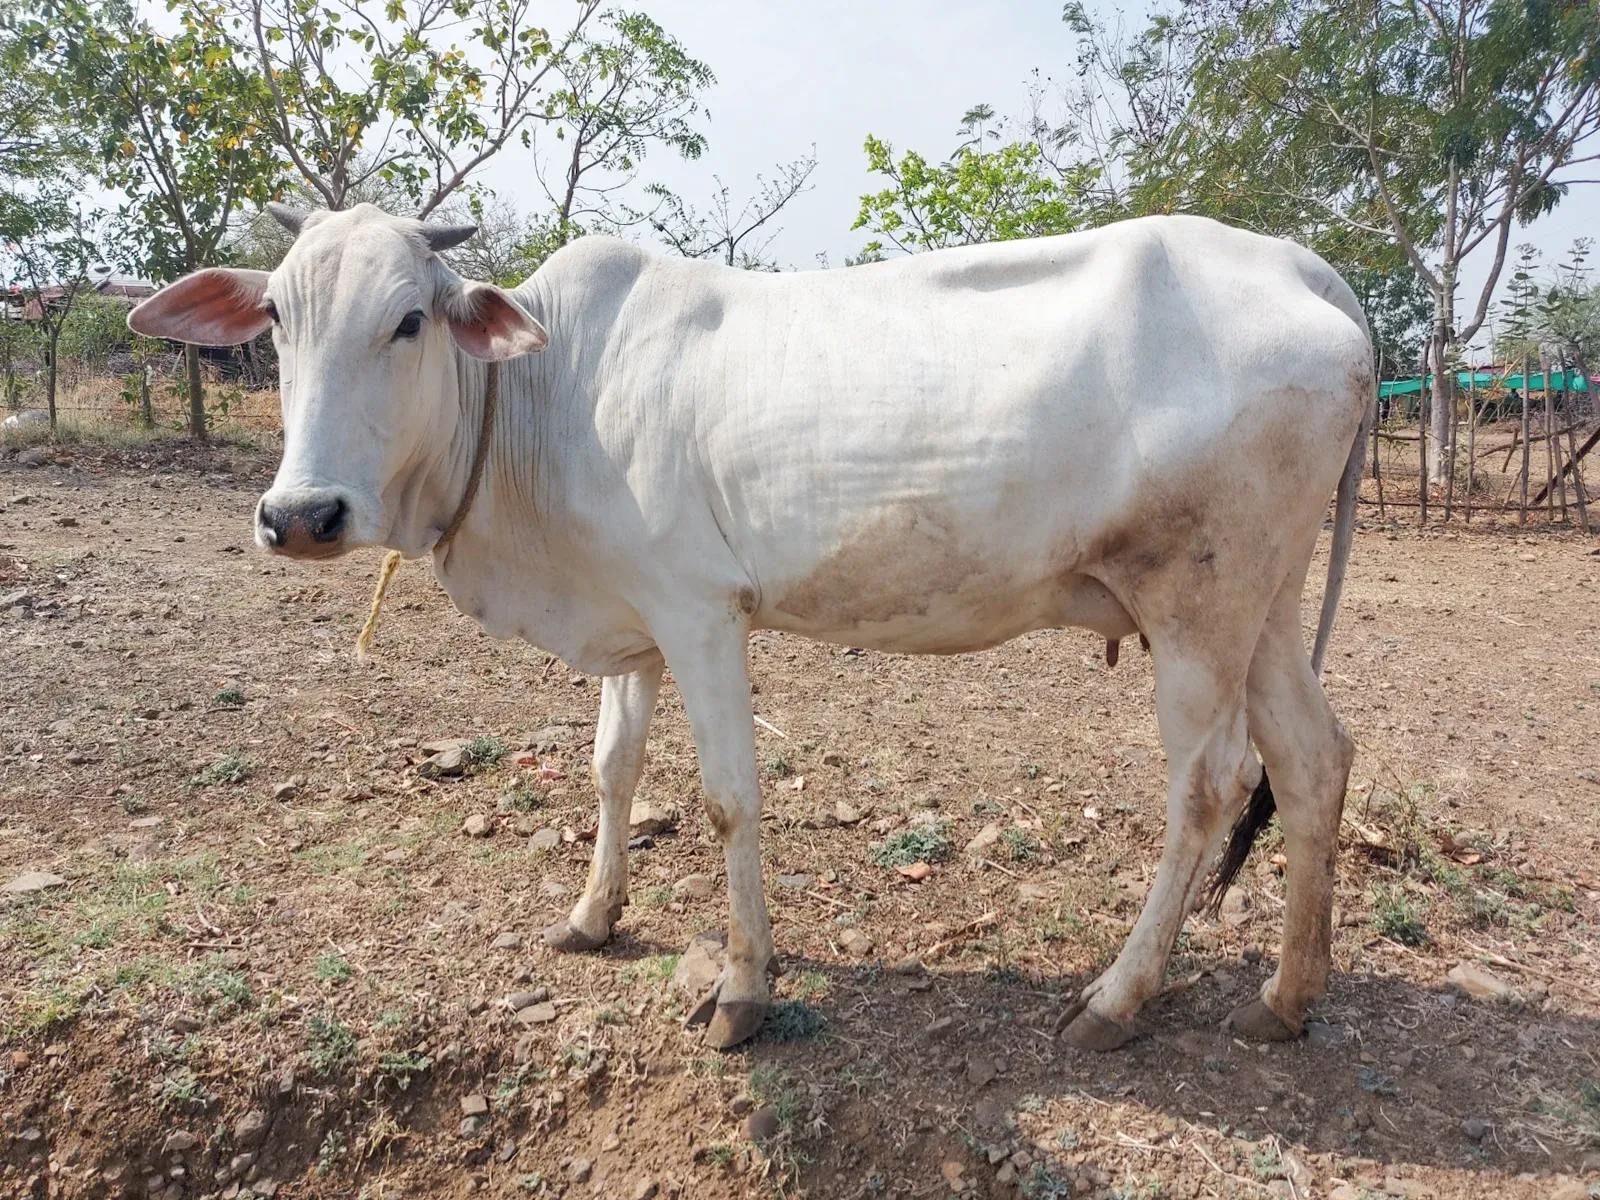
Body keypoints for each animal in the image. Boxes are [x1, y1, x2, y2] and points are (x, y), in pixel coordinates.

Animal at [129, 203, 1371, 1052]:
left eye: (407, 320)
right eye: (278, 319)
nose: (301, 515)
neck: (541, 396)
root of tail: (1302, 264)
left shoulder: (698, 611)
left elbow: (728, 798)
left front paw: (741, 990)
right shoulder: (631, 624)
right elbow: (612, 765)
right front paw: (592, 914)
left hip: (1198, 603)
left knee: (1209, 784)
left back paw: (1118, 997)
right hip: (1261, 606)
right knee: (1312, 759)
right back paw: (1287, 995)